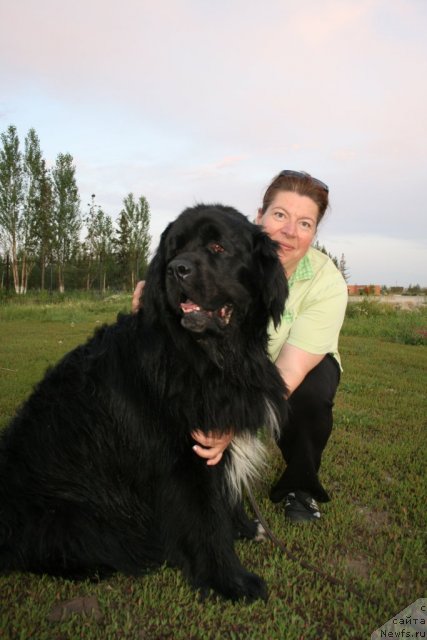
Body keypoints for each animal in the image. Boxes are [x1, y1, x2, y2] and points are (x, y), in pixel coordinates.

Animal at [0, 204, 290, 600]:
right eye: (173, 249)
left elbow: (225, 496)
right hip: (74, 515)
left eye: (217, 247)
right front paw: (230, 581)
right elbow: (207, 517)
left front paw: (245, 529)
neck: (207, 358)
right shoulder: (182, 458)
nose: (176, 269)